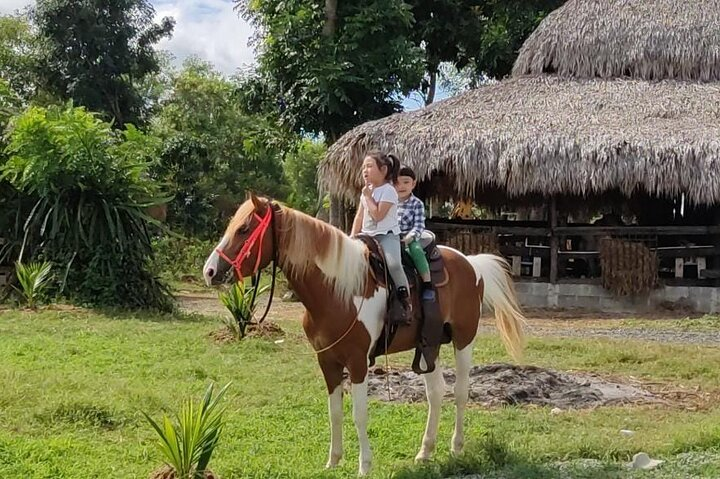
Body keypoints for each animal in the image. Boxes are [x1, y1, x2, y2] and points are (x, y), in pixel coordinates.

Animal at [202, 194, 528, 476]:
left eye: (244, 229)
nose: (209, 271)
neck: (338, 291)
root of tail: (471, 264)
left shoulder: (358, 362)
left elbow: (359, 413)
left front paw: (364, 465)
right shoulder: (327, 361)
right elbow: (334, 411)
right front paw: (333, 461)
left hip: (463, 340)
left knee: (460, 392)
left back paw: (457, 447)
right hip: (429, 345)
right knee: (436, 393)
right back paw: (425, 451)